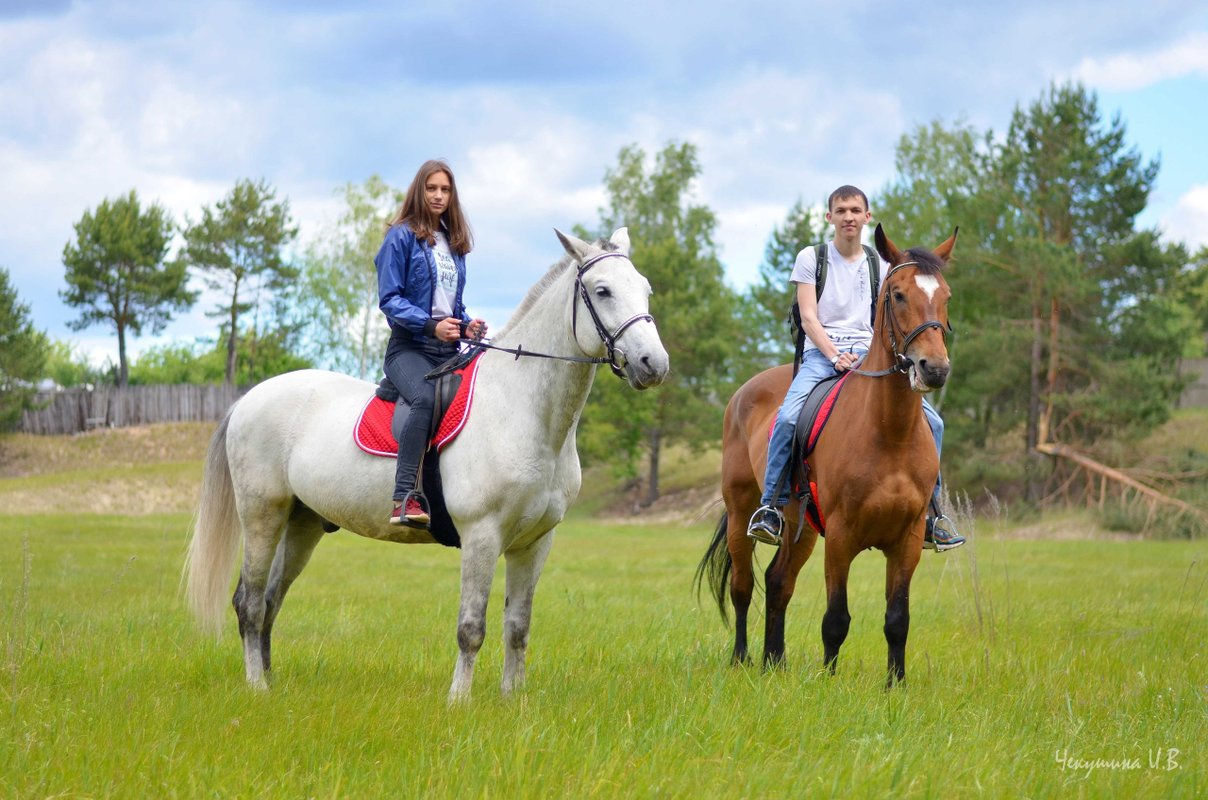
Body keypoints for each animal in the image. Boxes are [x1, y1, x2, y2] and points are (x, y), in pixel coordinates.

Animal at [186, 230, 671, 700]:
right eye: (603, 291)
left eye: (645, 289)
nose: (654, 364)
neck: (521, 408)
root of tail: (249, 398)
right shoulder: (481, 536)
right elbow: (471, 628)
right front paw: (459, 701)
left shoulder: (534, 543)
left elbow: (518, 627)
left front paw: (512, 700)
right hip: (262, 514)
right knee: (249, 603)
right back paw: (256, 686)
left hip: (302, 522)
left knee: (271, 601)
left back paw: (270, 681)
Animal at [695, 222, 956, 686]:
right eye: (898, 294)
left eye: (945, 295)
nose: (934, 368)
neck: (889, 432)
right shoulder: (840, 535)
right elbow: (836, 618)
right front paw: (830, 682)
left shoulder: (907, 540)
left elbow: (898, 619)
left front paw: (896, 685)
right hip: (743, 511)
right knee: (743, 586)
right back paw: (743, 659)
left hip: (800, 526)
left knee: (778, 581)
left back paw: (774, 661)